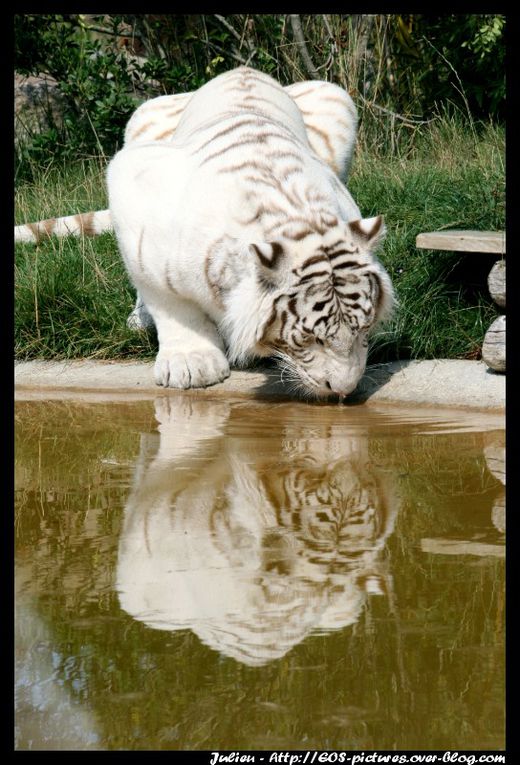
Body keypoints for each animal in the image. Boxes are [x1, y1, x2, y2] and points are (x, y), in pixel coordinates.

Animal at [107, 65, 394, 394]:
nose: (343, 389)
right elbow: (170, 303)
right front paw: (193, 364)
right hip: (143, 117)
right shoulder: (132, 186)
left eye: (364, 328)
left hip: (335, 97)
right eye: (311, 338)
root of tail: (241, 69)